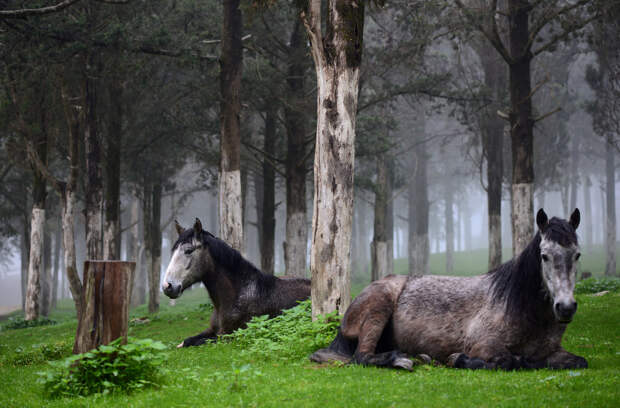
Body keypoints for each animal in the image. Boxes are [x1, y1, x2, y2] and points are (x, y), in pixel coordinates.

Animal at [163, 217, 310, 348]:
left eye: (188, 251)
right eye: (173, 251)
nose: (167, 286)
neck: (238, 293)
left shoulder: (229, 336)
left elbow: (200, 342)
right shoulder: (211, 330)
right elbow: (188, 340)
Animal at [312, 209, 588, 372]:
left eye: (577, 255)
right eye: (544, 256)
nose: (565, 307)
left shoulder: (554, 351)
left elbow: (579, 361)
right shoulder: (485, 346)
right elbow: (508, 361)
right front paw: (459, 359)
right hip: (378, 307)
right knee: (362, 357)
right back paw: (401, 359)